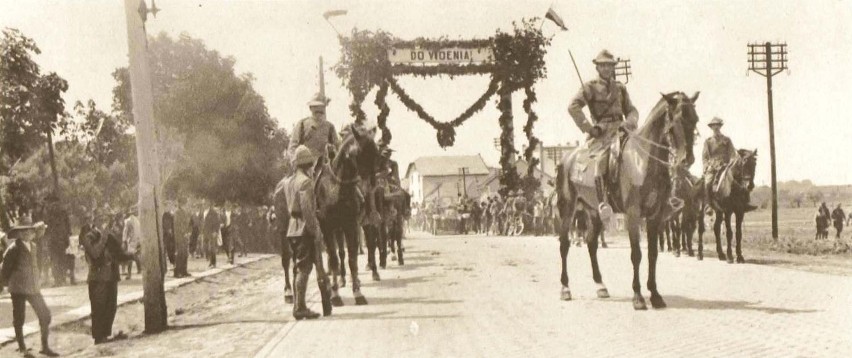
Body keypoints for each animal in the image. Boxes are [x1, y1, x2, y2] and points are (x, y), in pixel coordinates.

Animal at [552, 91, 700, 310]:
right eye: (674, 123)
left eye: (695, 120)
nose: (686, 159)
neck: (642, 161)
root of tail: (565, 158)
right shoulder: (633, 214)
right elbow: (636, 254)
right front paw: (638, 297)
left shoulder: (655, 216)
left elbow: (653, 254)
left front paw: (655, 295)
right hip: (567, 208)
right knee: (564, 244)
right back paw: (565, 288)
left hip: (595, 211)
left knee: (591, 243)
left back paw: (601, 286)